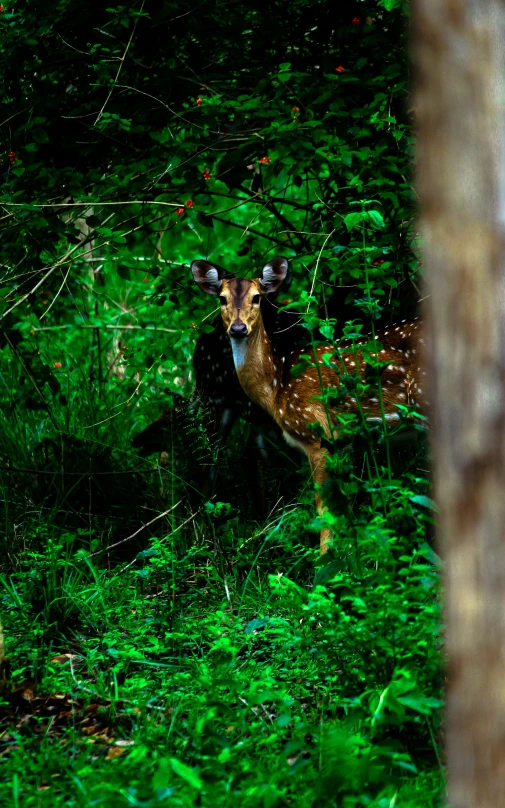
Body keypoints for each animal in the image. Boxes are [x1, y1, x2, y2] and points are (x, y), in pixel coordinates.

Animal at [191, 258, 428, 556]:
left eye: (257, 297)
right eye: (221, 298)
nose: (238, 329)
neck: (277, 385)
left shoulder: (317, 433)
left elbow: (324, 509)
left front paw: (324, 560)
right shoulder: (343, 443)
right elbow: (345, 505)